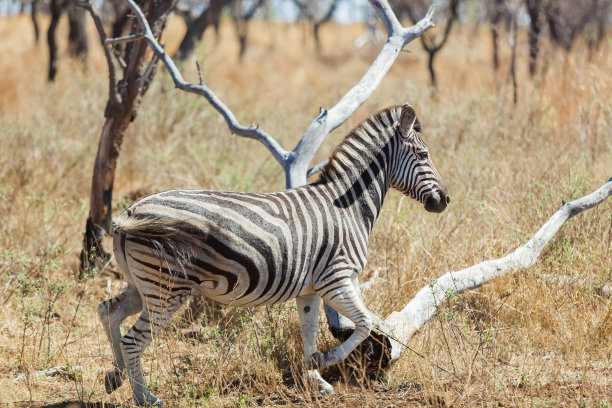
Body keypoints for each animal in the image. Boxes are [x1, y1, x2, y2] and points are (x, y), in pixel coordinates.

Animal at [97, 103, 450, 404]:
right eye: (423, 154)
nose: (445, 200)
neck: (348, 208)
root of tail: (129, 212)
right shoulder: (336, 279)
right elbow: (364, 324)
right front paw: (328, 359)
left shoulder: (310, 289)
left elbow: (309, 333)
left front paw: (315, 377)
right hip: (167, 288)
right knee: (133, 341)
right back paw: (144, 397)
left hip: (144, 283)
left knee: (109, 311)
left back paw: (115, 375)